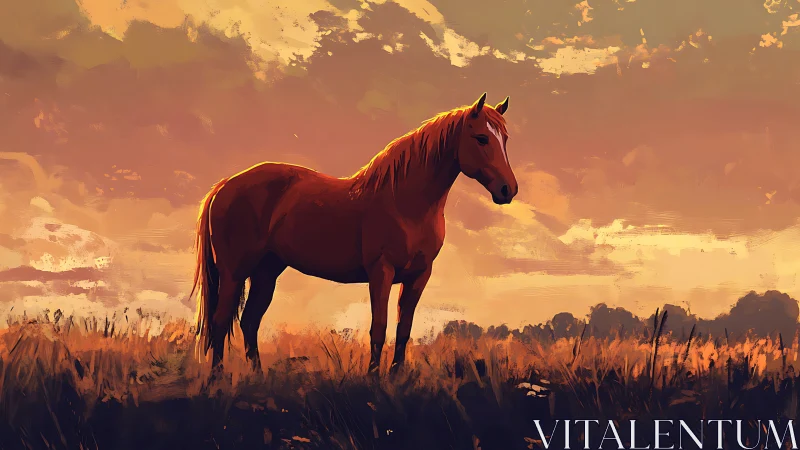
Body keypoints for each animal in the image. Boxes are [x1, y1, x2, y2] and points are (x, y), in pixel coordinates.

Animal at [189, 92, 518, 377]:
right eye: (481, 138)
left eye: (504, 139)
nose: (508, 190)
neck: (405, 200)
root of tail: (224, 185)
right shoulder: (381, 271)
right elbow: (379, 328)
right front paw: (373, 379)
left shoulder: (419, 275)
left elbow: (404, 329)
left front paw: (396, 378)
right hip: (234, 273)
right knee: (220, 322)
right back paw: (217, 380)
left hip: (266, 272)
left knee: (249, 322)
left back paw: (257, 378)